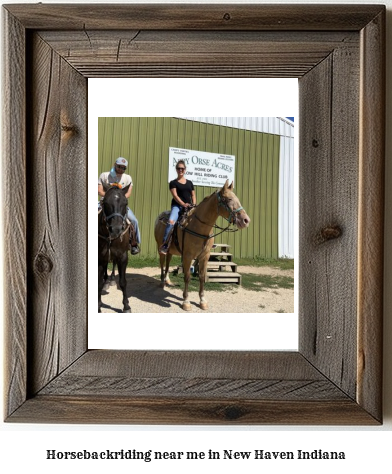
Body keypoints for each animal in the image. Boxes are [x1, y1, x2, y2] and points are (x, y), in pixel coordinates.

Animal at [98, 183, 132, 312]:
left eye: (125, 203)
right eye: (105, 202)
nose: (116, 229)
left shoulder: (122, 257)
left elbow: (123, 282)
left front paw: (126, 306)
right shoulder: (100, 259)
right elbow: (99, 283)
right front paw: (98, 306)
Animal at [154, 179, 250, 312]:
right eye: (228, 199)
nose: (246, 220)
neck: (198, 227)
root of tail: (159, 217)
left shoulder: (204, 256)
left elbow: (202, 277)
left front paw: (202, 301)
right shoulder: (188, 256)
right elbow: (187, 277)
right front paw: (186, 302)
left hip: (170, 251)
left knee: (167, 263)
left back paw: (168, 280)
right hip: (160, 248)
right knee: (162, 264)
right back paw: (162, 282)